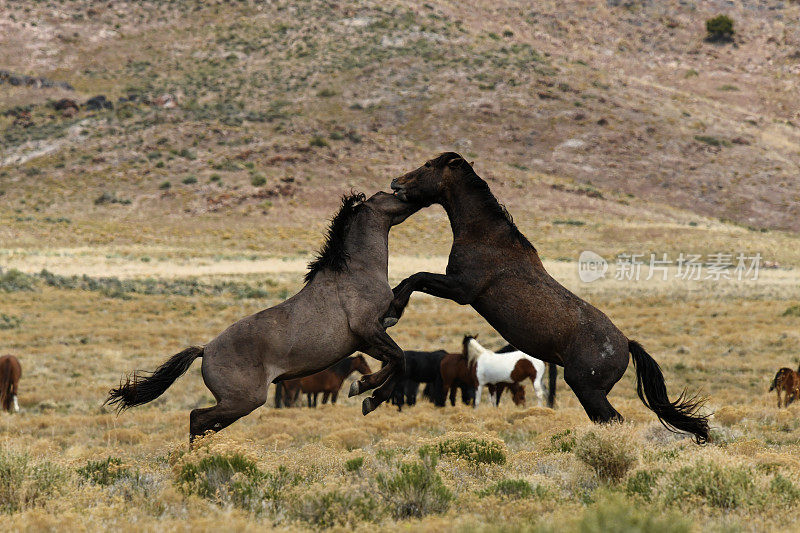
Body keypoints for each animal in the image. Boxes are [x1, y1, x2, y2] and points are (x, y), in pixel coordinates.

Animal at [107, 190, 424, 436]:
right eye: (388, 194)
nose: (412, 195)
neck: (355, 270)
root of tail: (206, 350)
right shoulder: (369, 329)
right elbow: (399, 358)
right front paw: (365, 391)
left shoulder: (367, 339)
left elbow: (397, 356)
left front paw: (366, 391)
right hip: (244, 400)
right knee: (197, 418)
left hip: (238, 403)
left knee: (203, 423)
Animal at [384, 152, 708, 442]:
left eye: (428, 165)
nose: (395, 182)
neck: (485, 237)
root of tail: (626, 344)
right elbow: (413, 279)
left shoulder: (461, 289)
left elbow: (416, 278)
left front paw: (391, 311)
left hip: (586, 388)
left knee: (613, 419)